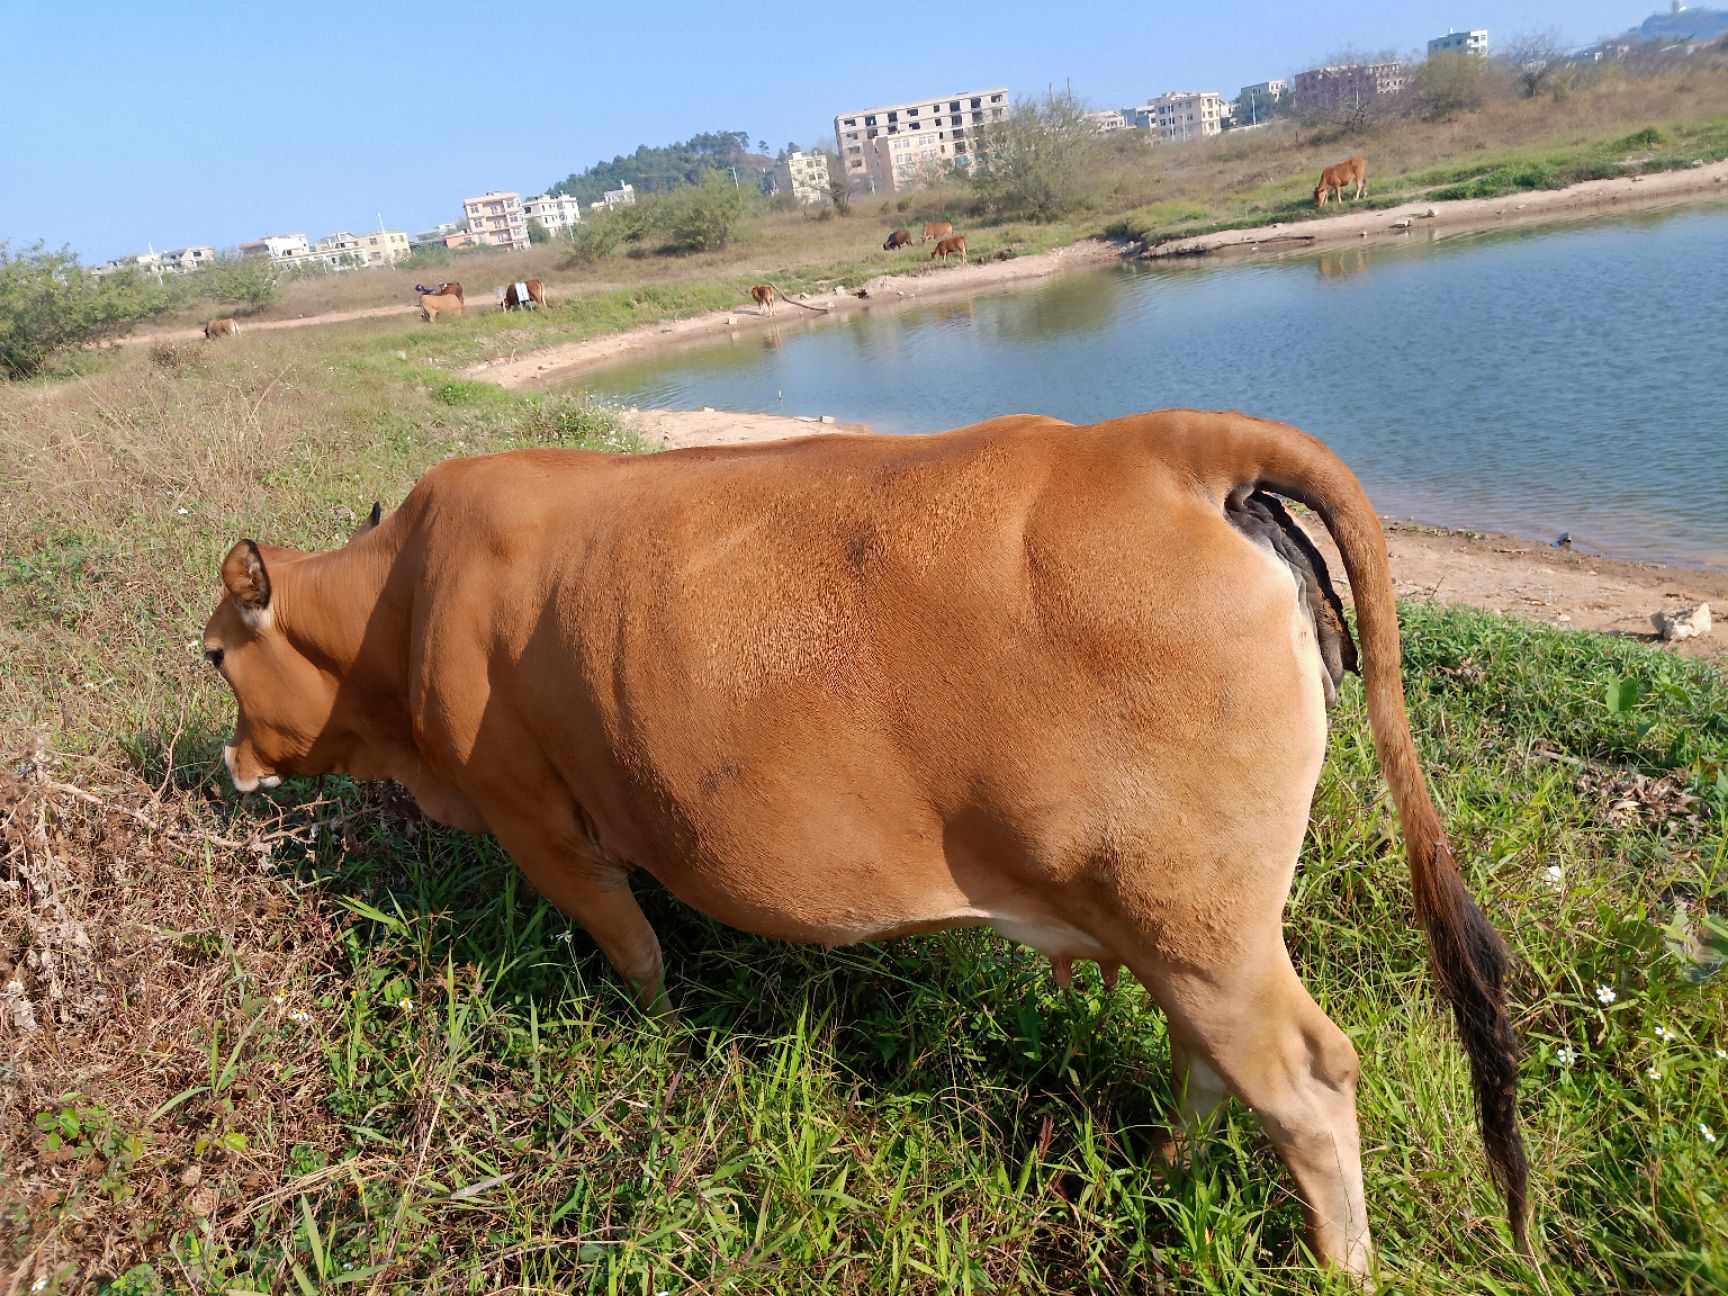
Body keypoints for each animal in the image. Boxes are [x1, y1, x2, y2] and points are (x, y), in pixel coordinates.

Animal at [198, 411, 1527, 1285]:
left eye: (214, 654)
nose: (229, 763)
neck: (399, 605)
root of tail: (1166, 448)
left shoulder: (536, 820)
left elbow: (635, 953)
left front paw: (651, 1038)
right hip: (1185, 918)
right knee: (1211, 1055)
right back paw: (1162, 1166)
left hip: (1198, 913)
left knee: (1305, 1079)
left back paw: (1336, 1263)